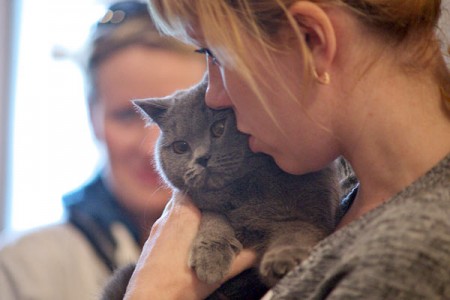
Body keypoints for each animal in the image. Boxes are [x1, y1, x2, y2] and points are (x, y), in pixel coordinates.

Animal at [101, 78, 342, 300]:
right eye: (181, 147)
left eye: (218, 128)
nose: (201, 158)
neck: (245, 192)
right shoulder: (204, 206)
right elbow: (214, 217)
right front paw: (211, 259)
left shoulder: (311, 213)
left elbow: (295, 233)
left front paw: (281, 261)